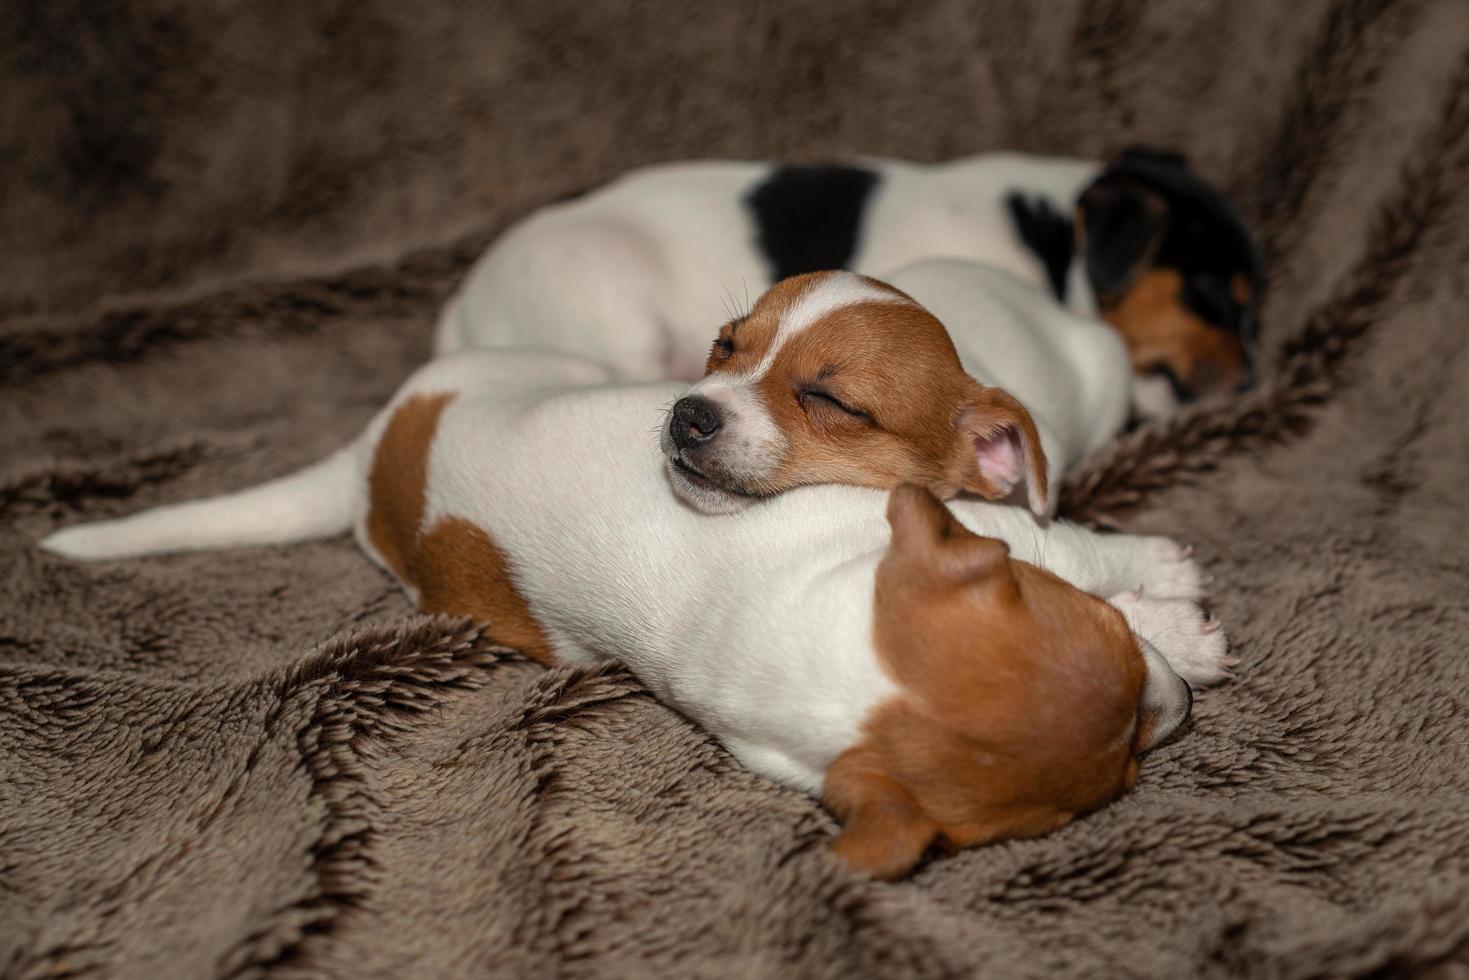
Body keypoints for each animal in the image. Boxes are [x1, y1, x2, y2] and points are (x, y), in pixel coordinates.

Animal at [37, 351, 1228, 881]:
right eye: (1114, 774)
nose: (1170, 703)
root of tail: (371, 457)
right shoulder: (1009, 537)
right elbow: (1078, 543)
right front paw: (1176, 601)